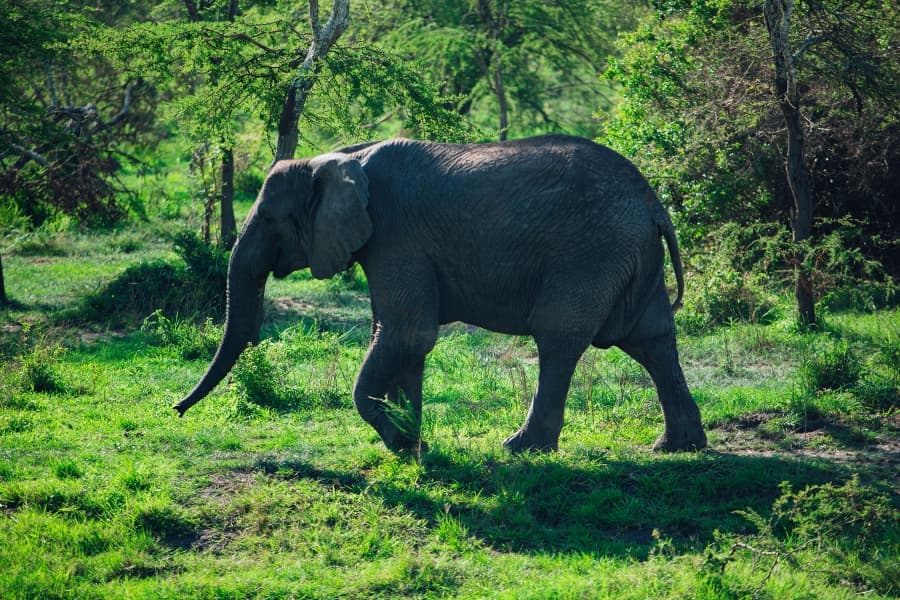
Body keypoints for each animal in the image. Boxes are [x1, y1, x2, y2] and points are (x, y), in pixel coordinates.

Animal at [174, 134, 707, 454]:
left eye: (269, 219)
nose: (175, 409)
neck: (338, 157)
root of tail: (654, 203)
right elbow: (400, 338)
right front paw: (412, 444)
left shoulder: (395, 235)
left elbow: (408, 333)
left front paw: (402, 442)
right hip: (629, 254)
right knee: (652, 339)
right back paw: (677, 447)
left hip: (591, 252)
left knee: (560, 338)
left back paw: (520, 448)